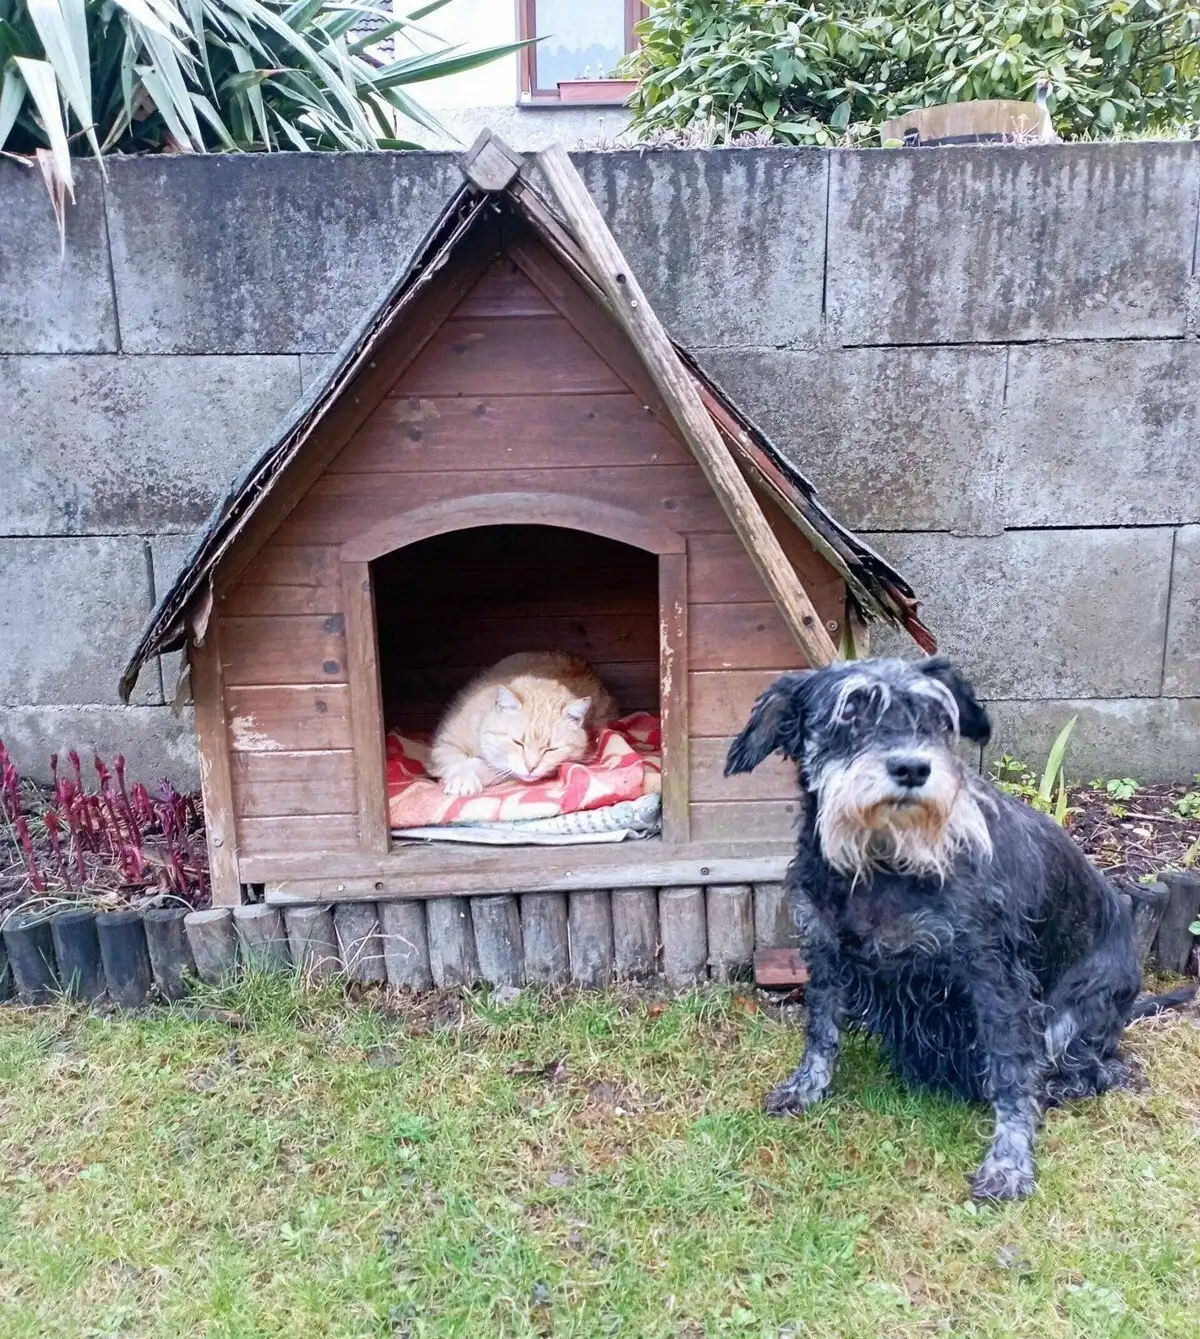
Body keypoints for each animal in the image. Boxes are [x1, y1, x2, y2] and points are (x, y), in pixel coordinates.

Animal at [428, 651, 618, 797]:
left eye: (551, 749)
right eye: (517, 742)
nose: (531, 767)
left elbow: (498, 771)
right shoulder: (444, 744)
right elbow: (456, 762)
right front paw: (463, 779)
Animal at [725, 656, 1193, 1201]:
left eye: (935, 716)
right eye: (850, 711)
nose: (912, 768)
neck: (884, 861)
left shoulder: (994, 977)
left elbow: (1011, 1070)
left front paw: (1009, 1162)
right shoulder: (825, 951)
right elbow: (820, 1031)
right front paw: (805, 1088)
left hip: (1075, 1013)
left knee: (1102, 1067)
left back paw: (1059, 1084)